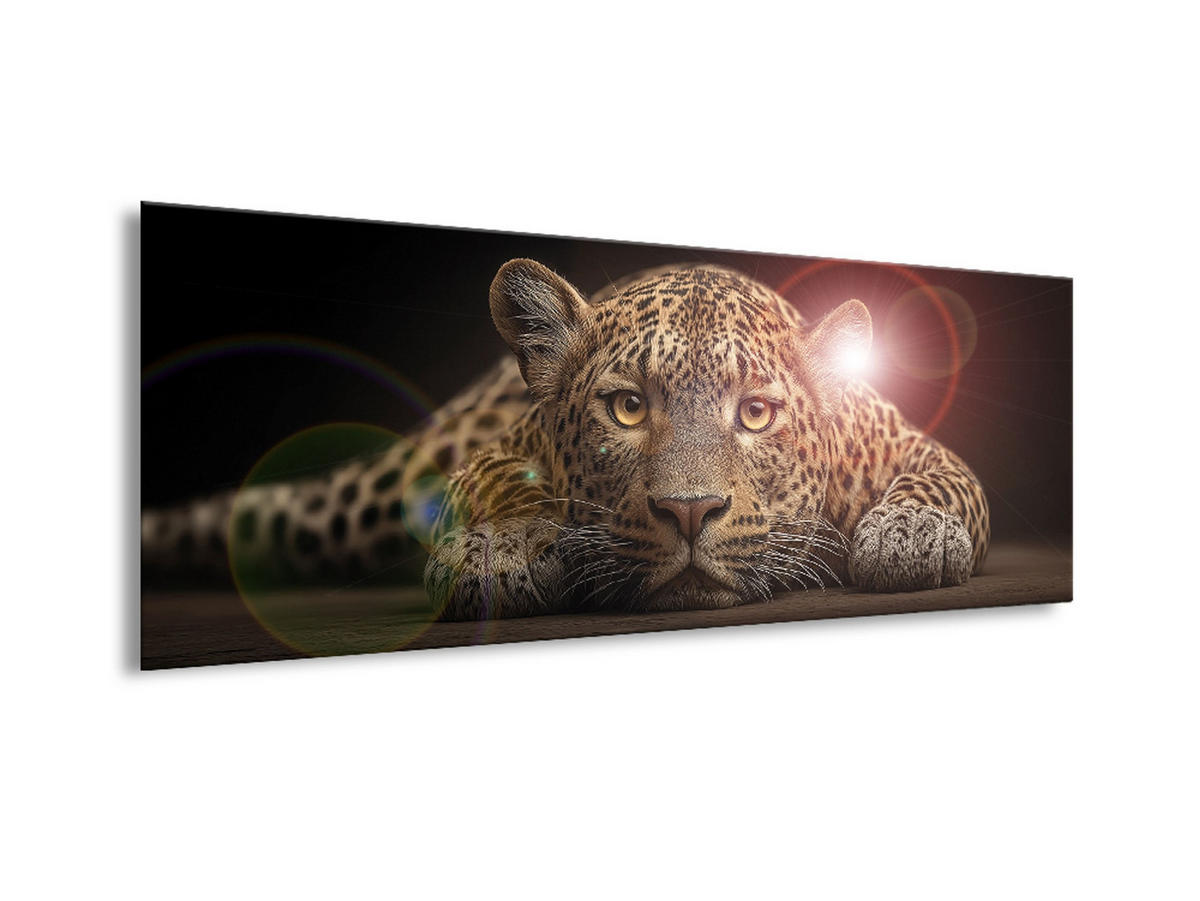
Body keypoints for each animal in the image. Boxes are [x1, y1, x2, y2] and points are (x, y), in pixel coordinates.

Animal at [142, 259, 990, 620]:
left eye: (755, 414)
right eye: (627, 408)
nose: (689, 512)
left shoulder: (902, 439)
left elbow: (944, 478)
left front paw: (912, 532)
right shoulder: (497, 448)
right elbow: (499, 484)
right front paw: (504, 552)